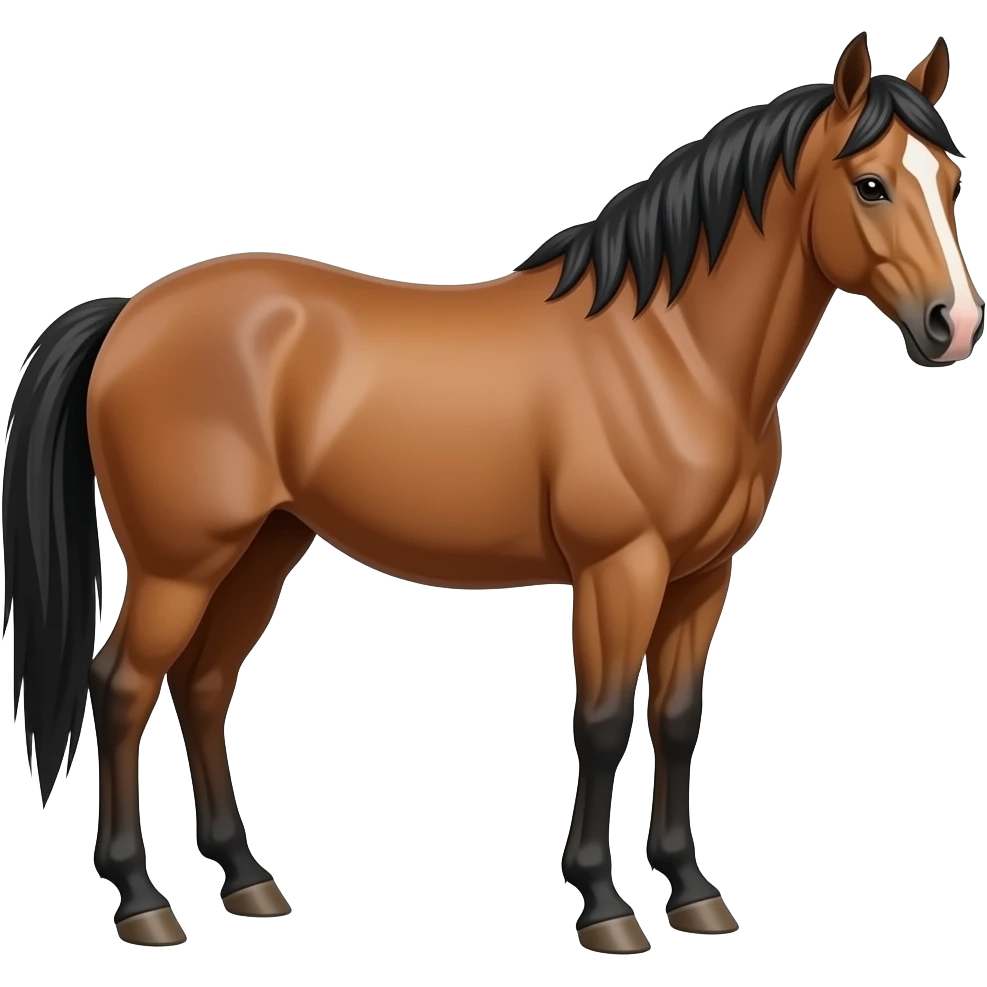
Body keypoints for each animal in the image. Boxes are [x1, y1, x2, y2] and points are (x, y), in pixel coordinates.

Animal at [1, 32, 981, 951]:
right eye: (870, 185)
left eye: (951, 180)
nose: (955, 325)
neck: (672, 350)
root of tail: (129, 312)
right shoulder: (618, 570)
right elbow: (600, 721)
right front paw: (605, 907)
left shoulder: (702, 578)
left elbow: (674, 719)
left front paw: (692, 892)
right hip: (181, 562)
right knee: (122, 688)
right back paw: (142, 901)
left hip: (262, 547)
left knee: (202, 685)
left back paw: (246, 879)